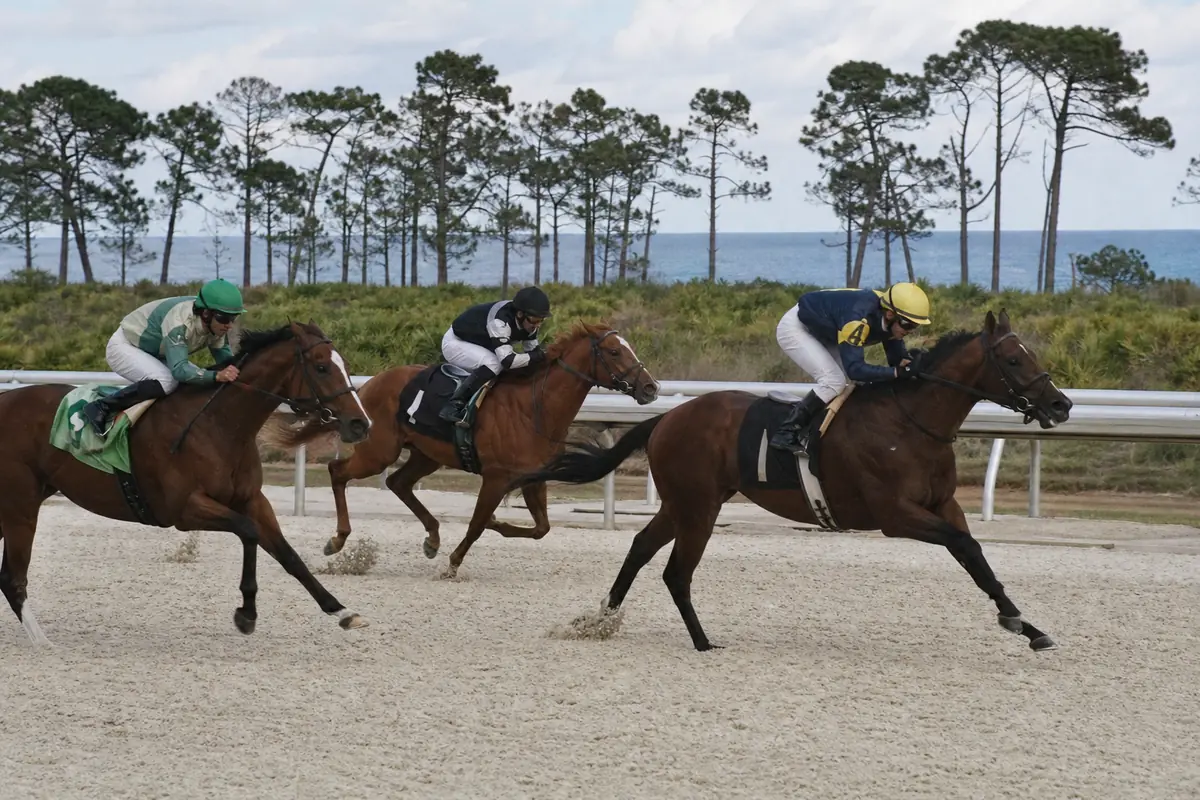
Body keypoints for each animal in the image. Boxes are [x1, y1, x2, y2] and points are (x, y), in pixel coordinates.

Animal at [0, 321, 374, 644]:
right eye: (321, 367)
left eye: (345, 364)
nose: (360, 424)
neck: (220, 425)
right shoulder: (184, 509)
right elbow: (248, 531)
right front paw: (246, 614)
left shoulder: (253, 499)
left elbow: (289, 555)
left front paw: (342, 611)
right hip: (20, 504)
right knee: (13, 577)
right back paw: (43, 642)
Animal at [264, 321, 659, 578]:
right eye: (614, 351)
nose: (651, 387)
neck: (536, 407)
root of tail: (362, 388)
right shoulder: (496, 477)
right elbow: (477, 523)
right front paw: (454, 562)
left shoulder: (533, 478)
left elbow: (540, 528)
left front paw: (497, 524)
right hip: (379, 451)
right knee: (339, 472)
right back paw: (338, 539)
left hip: (426, 454)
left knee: (398, 483)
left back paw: (432, 538)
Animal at [509, 310, 1074, 653]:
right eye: (1014, 358)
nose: (1061, 404)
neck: (911, 422)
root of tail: (668, 416)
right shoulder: (896, 515)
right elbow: (965, 545)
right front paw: (1017, 623)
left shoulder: (943, 505)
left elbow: (975, 556)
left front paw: (1028, 626)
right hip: (699, 507)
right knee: (676, 571)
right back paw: (702, 641)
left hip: (684, 503)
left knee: (641, 548)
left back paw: (600, 620)